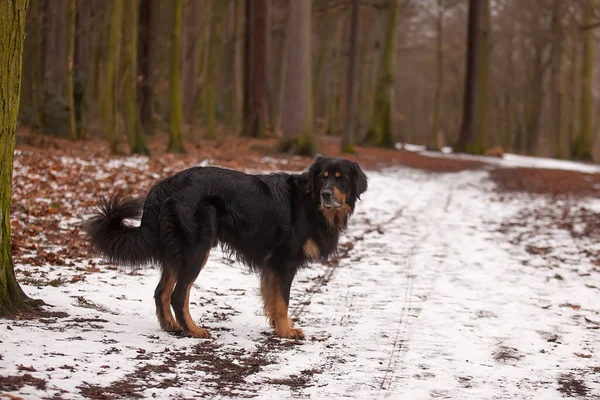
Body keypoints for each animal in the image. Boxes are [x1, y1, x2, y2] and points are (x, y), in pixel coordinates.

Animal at [84, 156, 366, 340]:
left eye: (340, 179)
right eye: (323, 178)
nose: (327, 194)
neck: (310, 202)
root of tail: (164, 185)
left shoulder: (273, 264)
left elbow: (272, 298)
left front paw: (277, 326)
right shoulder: (283, 261)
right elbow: (283, 300)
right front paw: (286, 331)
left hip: (176, 251)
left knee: (161, 292)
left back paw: (172, 327)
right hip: (198, 247)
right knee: (178, 294)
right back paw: (193, 330)